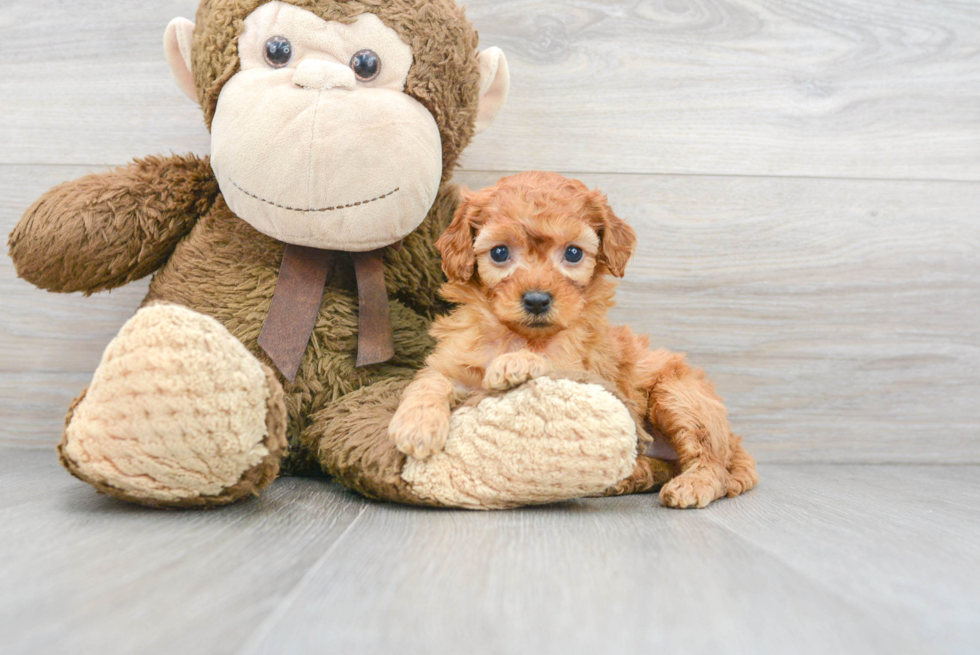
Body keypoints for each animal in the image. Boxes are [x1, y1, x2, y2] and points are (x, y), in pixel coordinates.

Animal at [388, 172, 756, 510]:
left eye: (574, 253)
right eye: (500, 252)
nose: (537, 300)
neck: (517, 334)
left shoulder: (584, 368)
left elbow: (548, 361)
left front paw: (515, 362)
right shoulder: (454, 363)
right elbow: (430, 381)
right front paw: (417, 425)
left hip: (678, 395)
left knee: (711, 462)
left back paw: (691, 484)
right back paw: (630, 477)